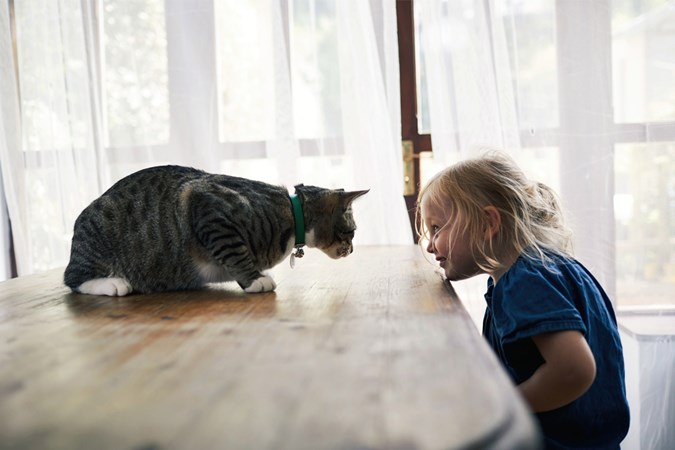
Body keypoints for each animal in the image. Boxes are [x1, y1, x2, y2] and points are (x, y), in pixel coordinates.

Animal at [64, 165, 370, 296]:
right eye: (351, 232)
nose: (353, 249)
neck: (290, 212)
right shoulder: (208, 209)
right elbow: (234, 252)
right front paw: (255, 280)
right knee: (73, 278)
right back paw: (113, 284)